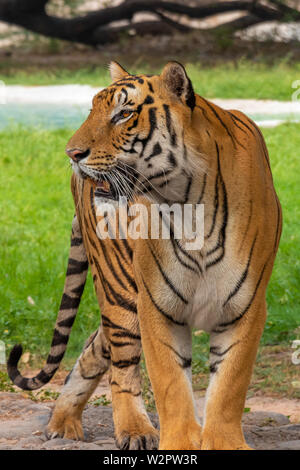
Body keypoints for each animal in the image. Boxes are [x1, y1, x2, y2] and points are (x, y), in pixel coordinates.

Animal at [7, 60, 282, 450]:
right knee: (119, 370)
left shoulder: (245, 307)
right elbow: (171, 385)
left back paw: (62, 423)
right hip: (120, 292)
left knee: (92, 350)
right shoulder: (157, 304)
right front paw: (180, 443)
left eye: (124, 114)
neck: (189, 205)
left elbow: (230, 386)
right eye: (92, 110)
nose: (71, 154)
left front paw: (222, 442)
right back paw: (133, 430)